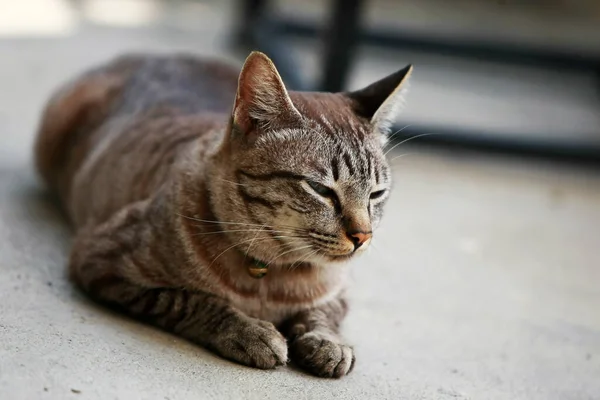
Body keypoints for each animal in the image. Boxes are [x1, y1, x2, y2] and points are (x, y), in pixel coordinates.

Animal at [34, 50, 412, 378]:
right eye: (320, 189)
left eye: (376, 194)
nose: (363, 237)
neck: (272, 277)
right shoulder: (102, 261)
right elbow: (190, 300)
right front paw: (250, 332)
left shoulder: (339, 291)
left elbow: (324, 314)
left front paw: (328, 343)